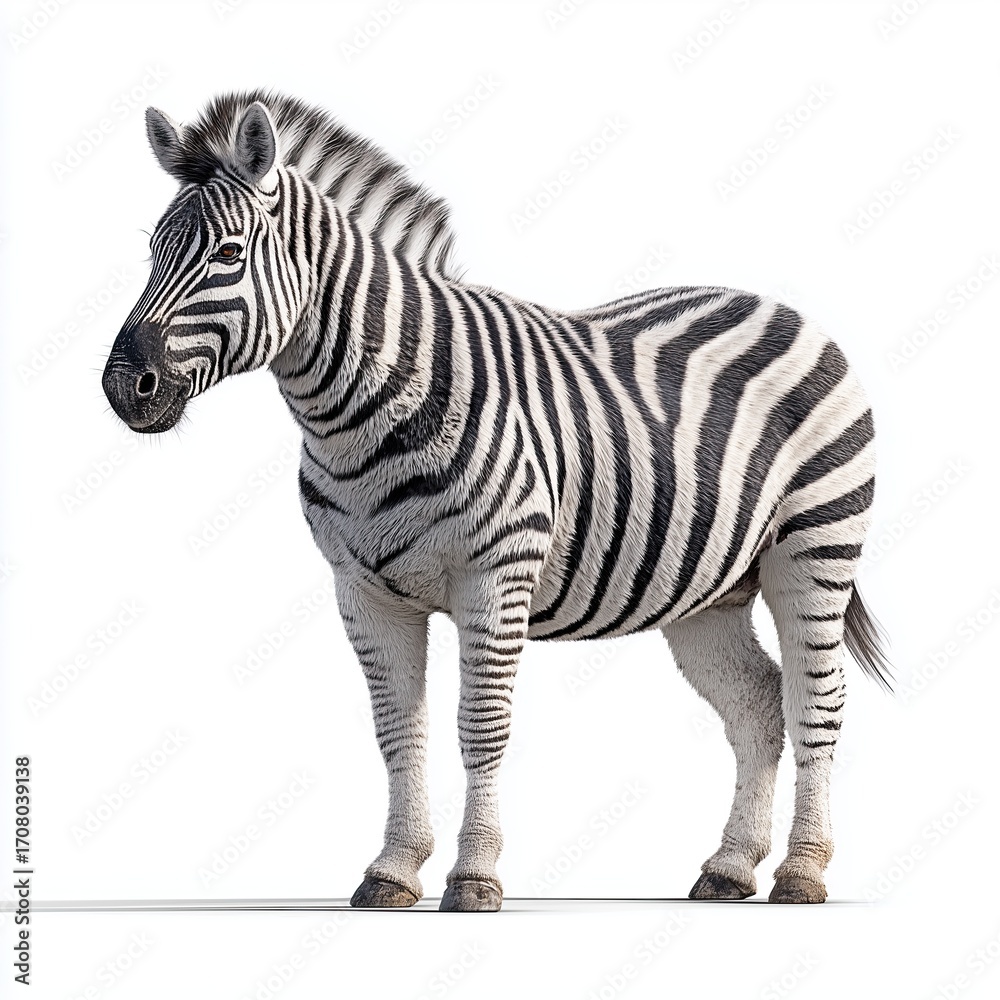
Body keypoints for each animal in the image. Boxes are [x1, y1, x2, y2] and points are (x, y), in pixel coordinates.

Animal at [102, 90, 890, 911]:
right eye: (153, 252)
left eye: (228, 255)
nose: (125, 388)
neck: (363, 411)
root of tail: (782, 307)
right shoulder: (363, 591)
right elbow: (397, 730)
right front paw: (393, 869)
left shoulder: (495, 575)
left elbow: (480, 726)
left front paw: (474, 875)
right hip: (710, 591)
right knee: (758, 704)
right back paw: (731, 868)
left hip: (815, 548)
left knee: (815, 703)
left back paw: (802, 872)